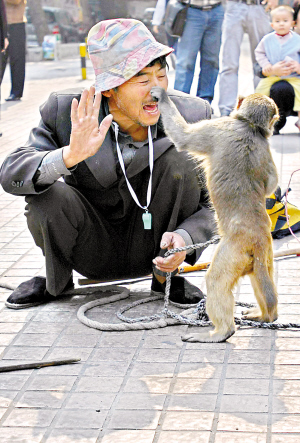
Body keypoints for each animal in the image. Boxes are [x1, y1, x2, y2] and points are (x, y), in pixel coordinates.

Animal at [151, 86, 280, 344]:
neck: (250, 126)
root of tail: (257, 235)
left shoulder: (219, 127)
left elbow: (183, 138)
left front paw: (161, 96)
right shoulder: (265, 146)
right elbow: (271, 183)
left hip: (235, 249)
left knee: (216, 280)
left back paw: (222, 331)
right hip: (264, 253)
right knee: (261, 275)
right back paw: (265, 315)